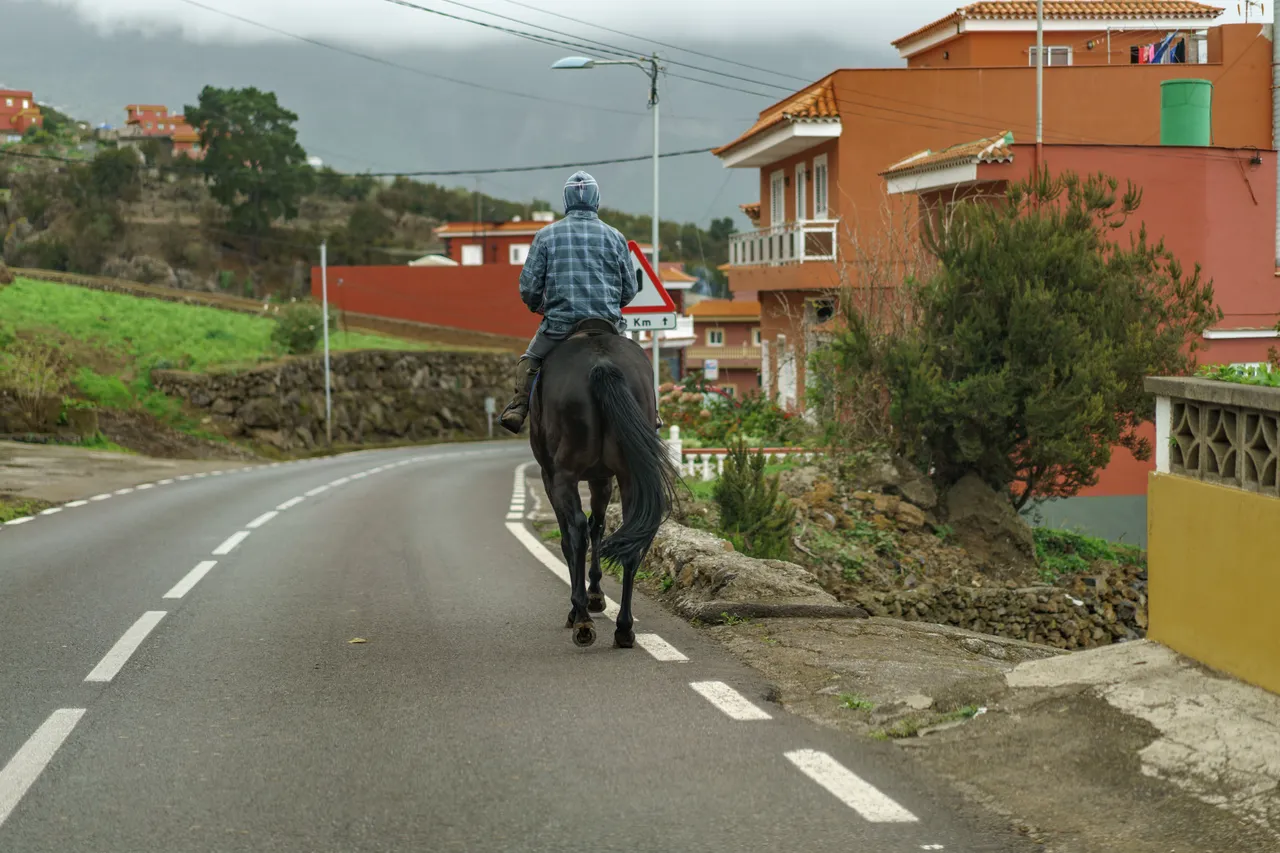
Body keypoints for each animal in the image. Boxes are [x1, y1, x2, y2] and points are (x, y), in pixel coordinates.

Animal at [527, 317, 680, 645]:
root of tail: (602, 364)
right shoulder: (603, 477)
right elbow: (599, 525)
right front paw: (597, 594)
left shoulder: (552, 477)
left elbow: (574, 535)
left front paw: (584, 603)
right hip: (629, 474)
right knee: (630, 535)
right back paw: (623, 627)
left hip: (563, 474)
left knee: (575, 533)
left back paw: (583, 620)